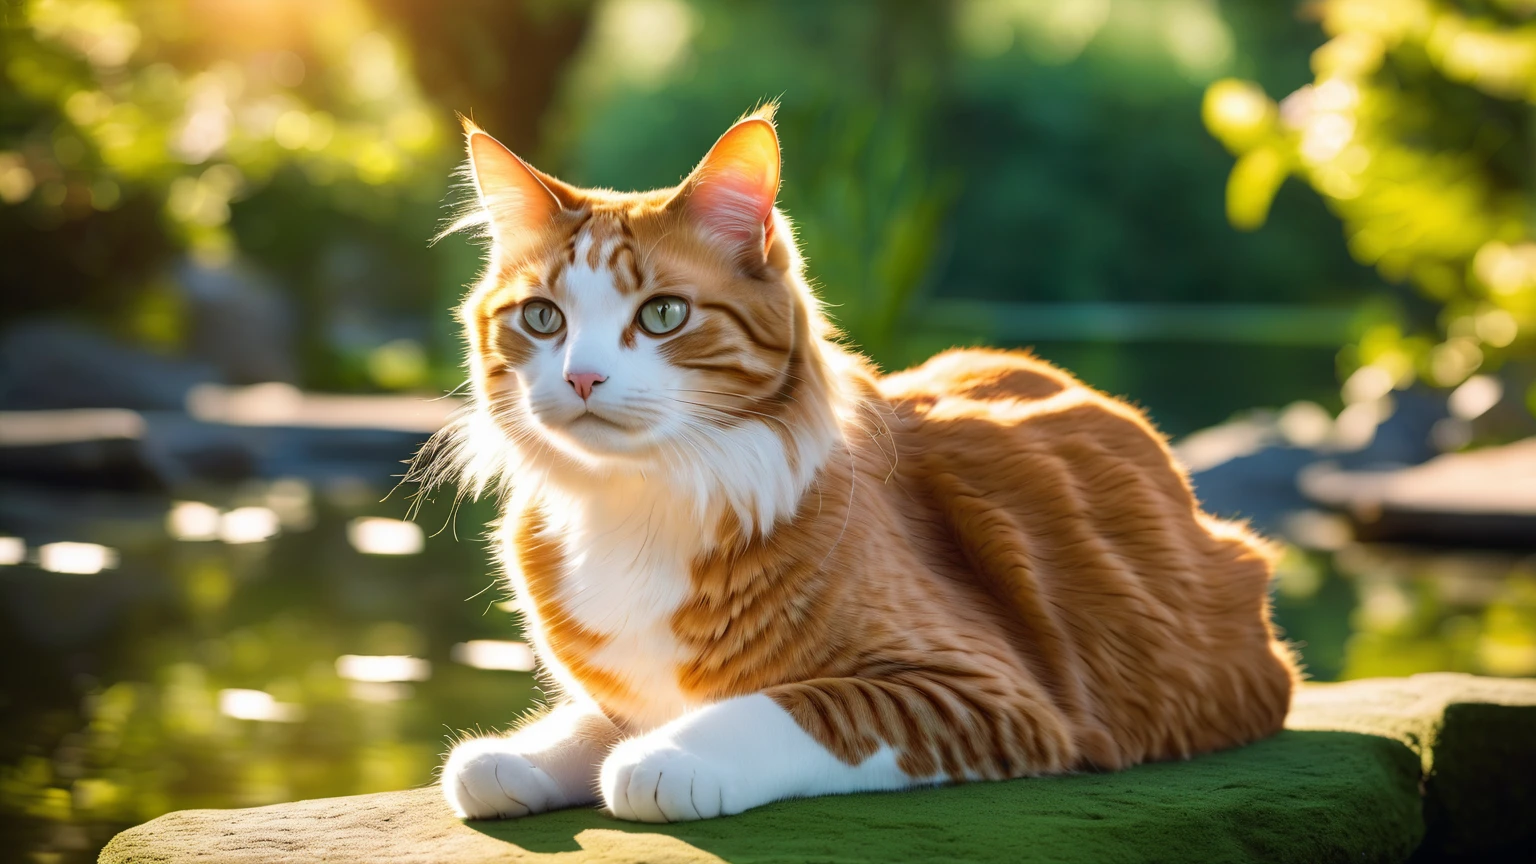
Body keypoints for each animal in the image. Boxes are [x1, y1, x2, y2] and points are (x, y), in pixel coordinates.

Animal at [420, 106, 1296, 817]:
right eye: (542, 318)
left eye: (663, 314)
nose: (582, 378)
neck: (636, 497)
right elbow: (558, 731)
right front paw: (524, 754)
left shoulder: (987, 690)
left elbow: (792, 706)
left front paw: (666, 757)